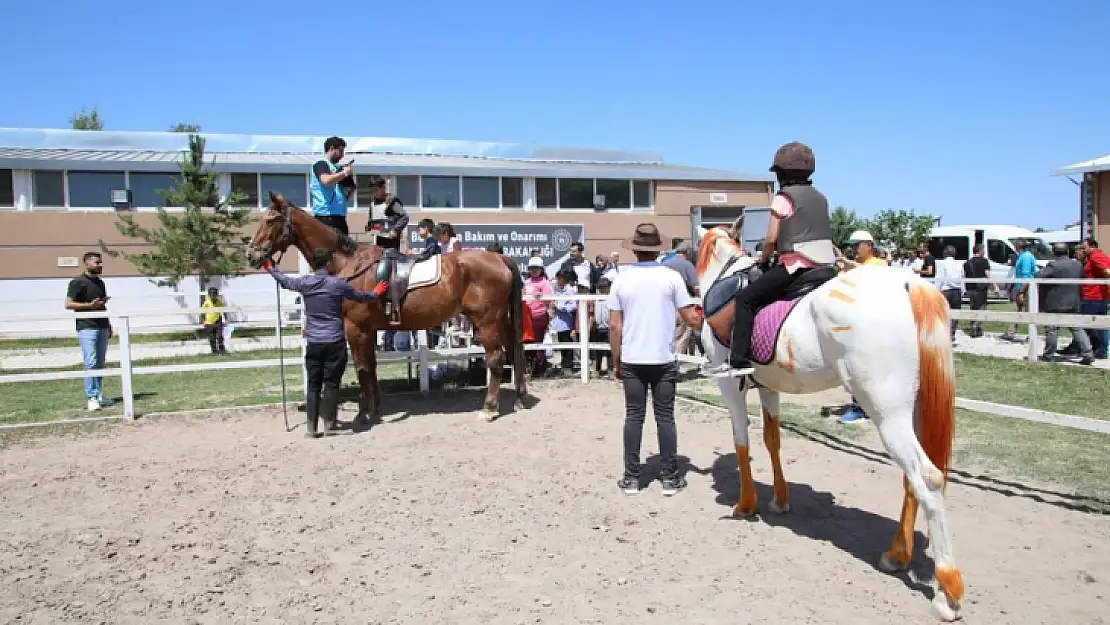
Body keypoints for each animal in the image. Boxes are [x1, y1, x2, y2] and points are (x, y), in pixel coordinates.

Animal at [247, 192, 528, 426]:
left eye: (271, 220)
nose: (252, 255)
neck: (350, 263)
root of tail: (499, 257)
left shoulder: (356, 329)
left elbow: (362, 369)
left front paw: (362, 414)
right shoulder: (369, 331)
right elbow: (371, 368)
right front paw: (375, 409)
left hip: (487, 322)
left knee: (496, 359)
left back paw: (489, 409)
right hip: (501, 321)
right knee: (514, 353)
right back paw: (520, 399)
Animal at [692, 226, 963, 621]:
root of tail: (907, 284)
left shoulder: (729, 384)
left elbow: (741, 440)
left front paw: (745, 504)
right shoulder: (769, 387)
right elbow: (772, 440)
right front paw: (780, 500)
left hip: (887, 412)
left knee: (926, 478)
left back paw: (947, 592)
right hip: (910, 411)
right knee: (911, 480)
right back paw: (897, 555)